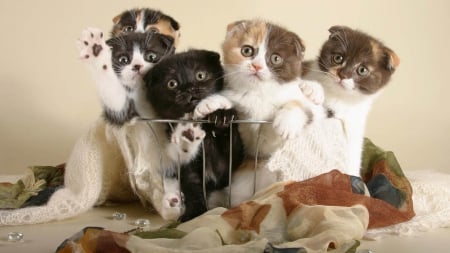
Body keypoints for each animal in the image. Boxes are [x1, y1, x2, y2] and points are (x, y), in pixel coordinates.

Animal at [143, 48, 243, 220]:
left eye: (200, 75)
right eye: (172, 83)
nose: (189, 88)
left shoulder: (227, 166)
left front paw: (222, 116)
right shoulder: (188, 169)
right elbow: (193, 190)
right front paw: (194, 214)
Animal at [193, 18, 324, 207]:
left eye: (276, 58)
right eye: (247, 50)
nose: (256, 66)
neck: (258, 93)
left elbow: (299, 106)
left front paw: (286, 124)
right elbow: (233, 101)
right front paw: (210, 103)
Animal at [302, 24, 400, 177]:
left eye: (362, 70)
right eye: (338, 58)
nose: (342, 75)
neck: (340, 97)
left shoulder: (355, 122)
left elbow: (354, 153)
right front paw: (312, 88)